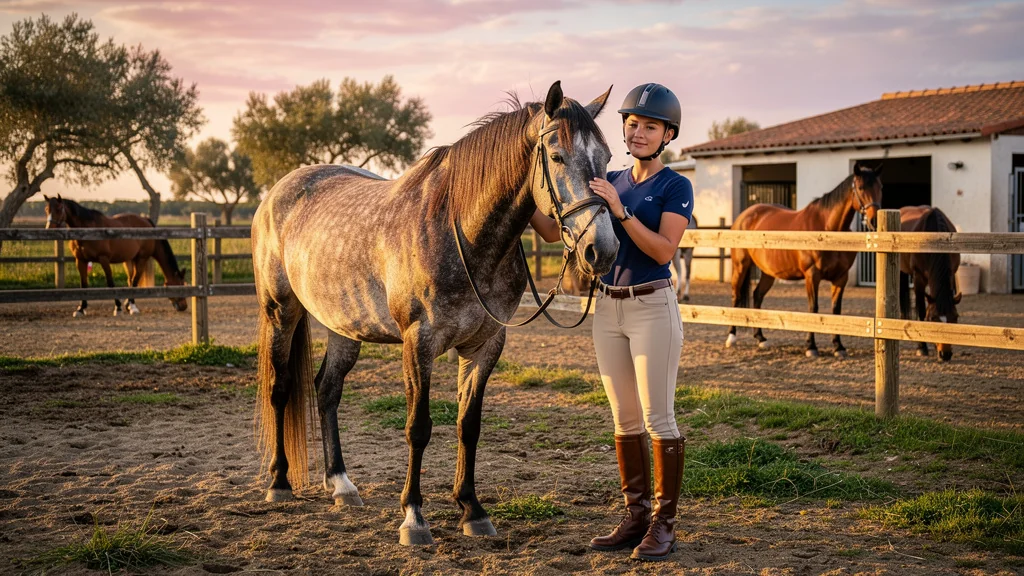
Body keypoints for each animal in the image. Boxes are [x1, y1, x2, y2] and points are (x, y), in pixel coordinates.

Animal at [43, 195, 189, 317]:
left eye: (59, 208)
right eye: (47, 209)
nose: (184, 306)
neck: (88, 229)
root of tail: (145, 220)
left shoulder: (104, 259)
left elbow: (112, 283)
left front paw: (119, 307)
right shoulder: (81, 260)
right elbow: (84, 284)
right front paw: (81, 309)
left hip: (138, 259)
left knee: (134, 280)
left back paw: (132, 305)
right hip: (130, 259)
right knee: (131, 279)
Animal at [250, 81, 618, 546]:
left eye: (607, 159)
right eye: (556, 157)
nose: (601, 250)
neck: (461, 232)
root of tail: (278, 192)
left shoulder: (485, 344)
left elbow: (468, 425)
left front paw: (472, 510)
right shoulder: (418, 343)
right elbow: (418, 427)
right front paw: (414, 517)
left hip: (344, 328)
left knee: (327, 390)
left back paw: (341, 484)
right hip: (281, 313)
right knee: (280, 389)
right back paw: (279, 483)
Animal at [725, 162, 883, 358]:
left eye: (880, 187)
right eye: (861, 188)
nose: (874, 220)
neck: (827, 229)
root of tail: (744, 215)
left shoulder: (841, 278)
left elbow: (836, 310)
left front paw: (838, 347)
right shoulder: (812, 276)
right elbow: (813, 309)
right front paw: (811, 347)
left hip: (768, 272)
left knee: (757, 295)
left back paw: (761, 338)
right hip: (741, 266)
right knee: (736, 295)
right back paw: (731, 337)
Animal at [899, 206, 962, 362]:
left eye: (955, 317)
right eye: (933, 318)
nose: (945, 354)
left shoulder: (951, 273)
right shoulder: (918, 278)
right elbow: (921, 311)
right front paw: (922, 348)